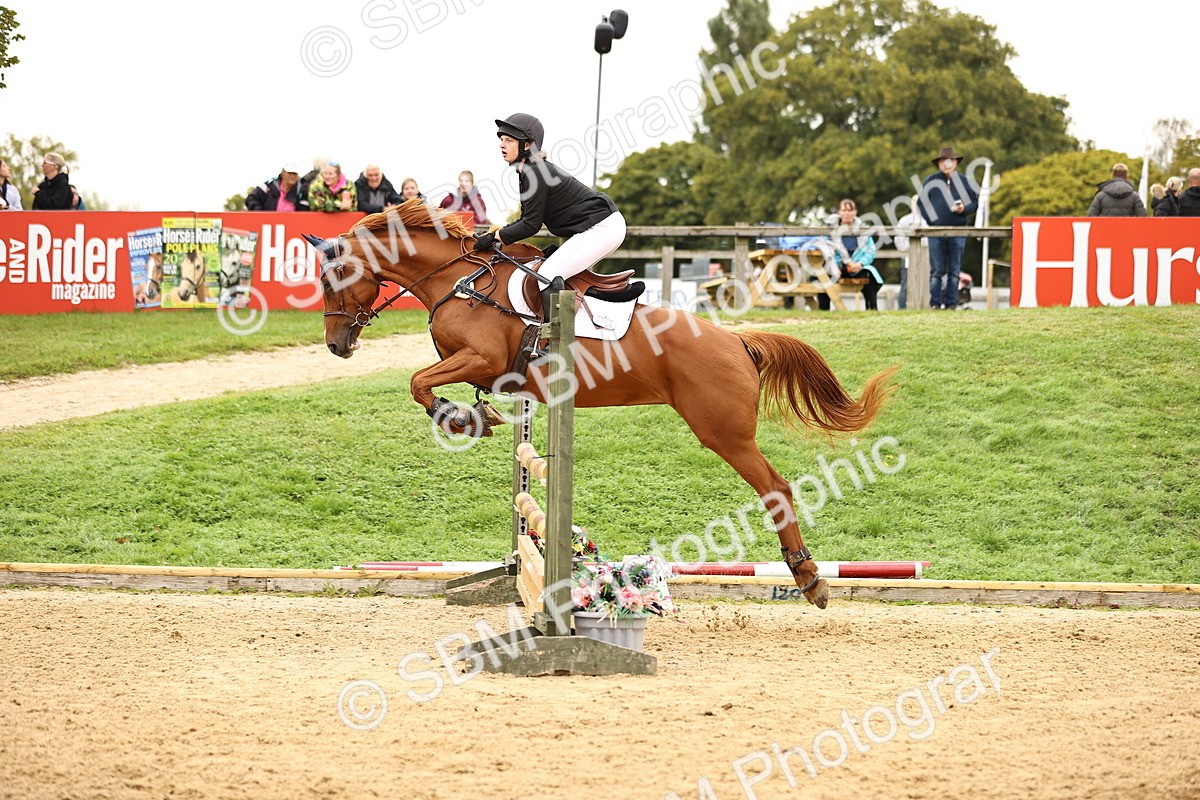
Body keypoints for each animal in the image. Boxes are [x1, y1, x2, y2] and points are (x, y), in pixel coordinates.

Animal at [316, 199, 896, 608]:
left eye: (333, 277)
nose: (337, 346)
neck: (460, 281)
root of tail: (737, 341)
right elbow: (426, 383)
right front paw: (476, 414)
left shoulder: (482, 358)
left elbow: (419, 383)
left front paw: (460, 418)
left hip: (723, 433)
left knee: (776, 488)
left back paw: (810, 578)